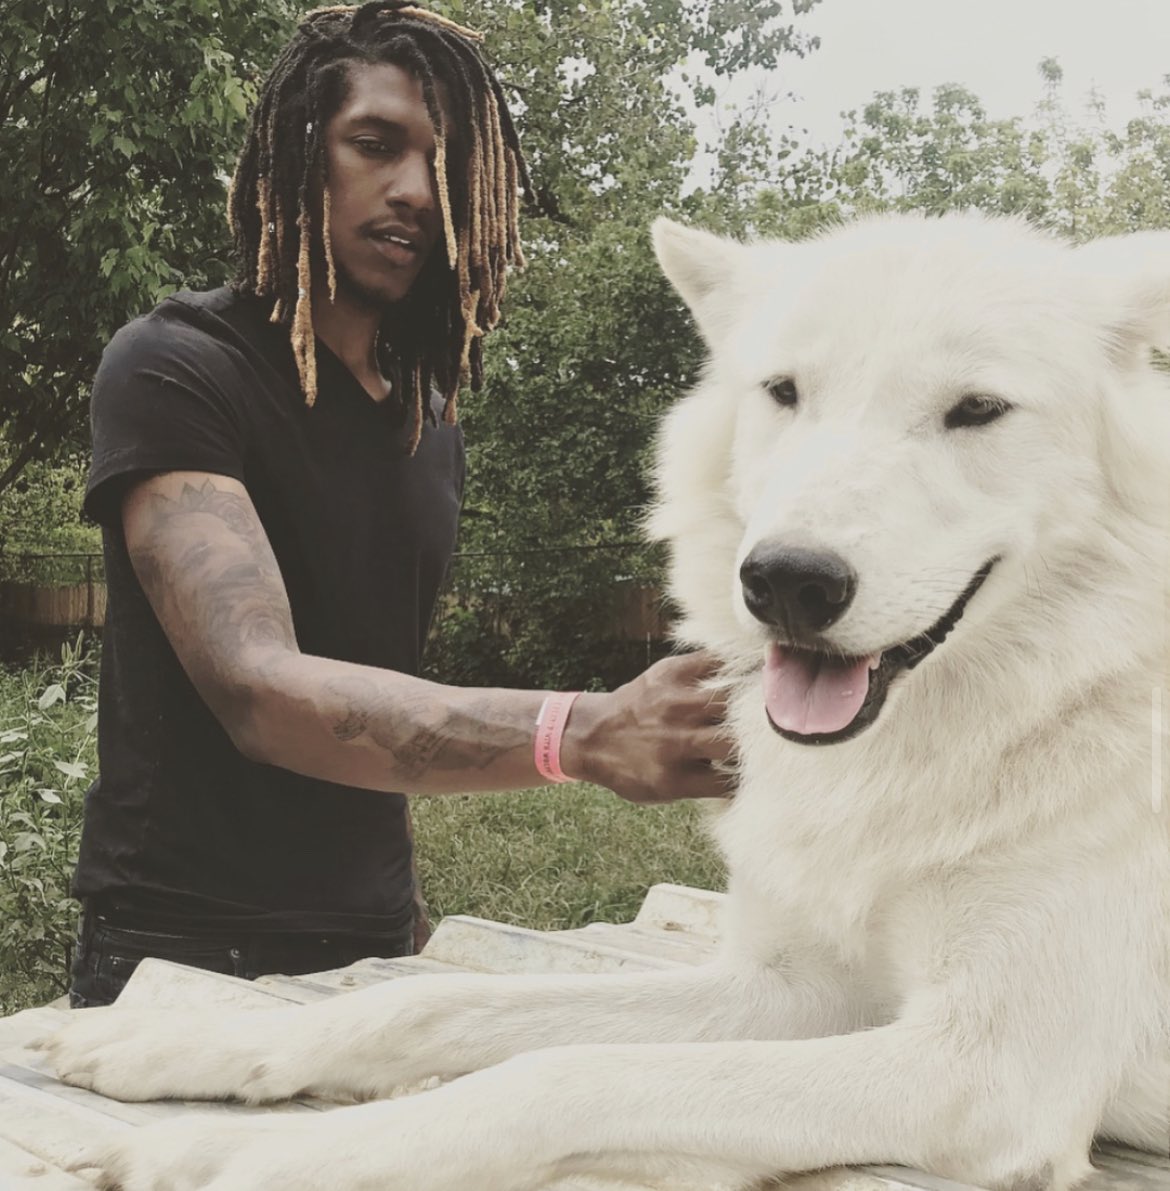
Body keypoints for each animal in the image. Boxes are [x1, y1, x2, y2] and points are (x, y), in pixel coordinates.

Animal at [38, 213, 1170, 1191]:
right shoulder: (792, 985)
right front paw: (185, 1041)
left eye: (977, 410)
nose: (787, 582)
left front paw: (227, 1157)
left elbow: (556, 1074)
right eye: (785, 392)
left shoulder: (990, 1071)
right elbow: (426, 998)